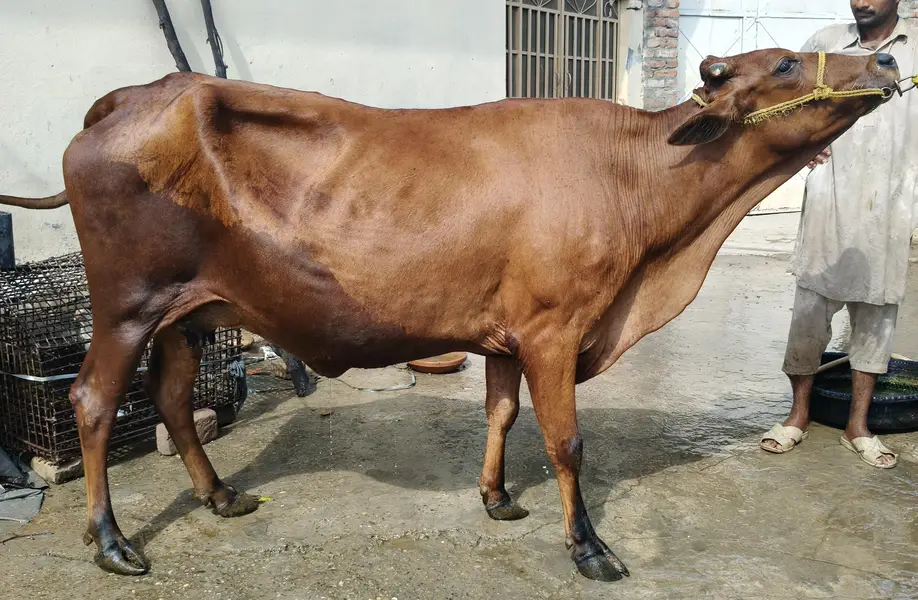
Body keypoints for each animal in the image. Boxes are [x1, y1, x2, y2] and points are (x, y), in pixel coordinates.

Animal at [0, 48, 900, 581]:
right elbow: (567, 441)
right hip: (127, 303)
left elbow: (500, 413)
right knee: (92, 401)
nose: (887, 53)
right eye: (784, 62)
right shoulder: (555, 327)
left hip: (189, 312)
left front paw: (497, 498)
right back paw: (112, 542)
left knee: (175, 401)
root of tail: (136, 93)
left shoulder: (506, 331)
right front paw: (589, 548)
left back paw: (222, 498)